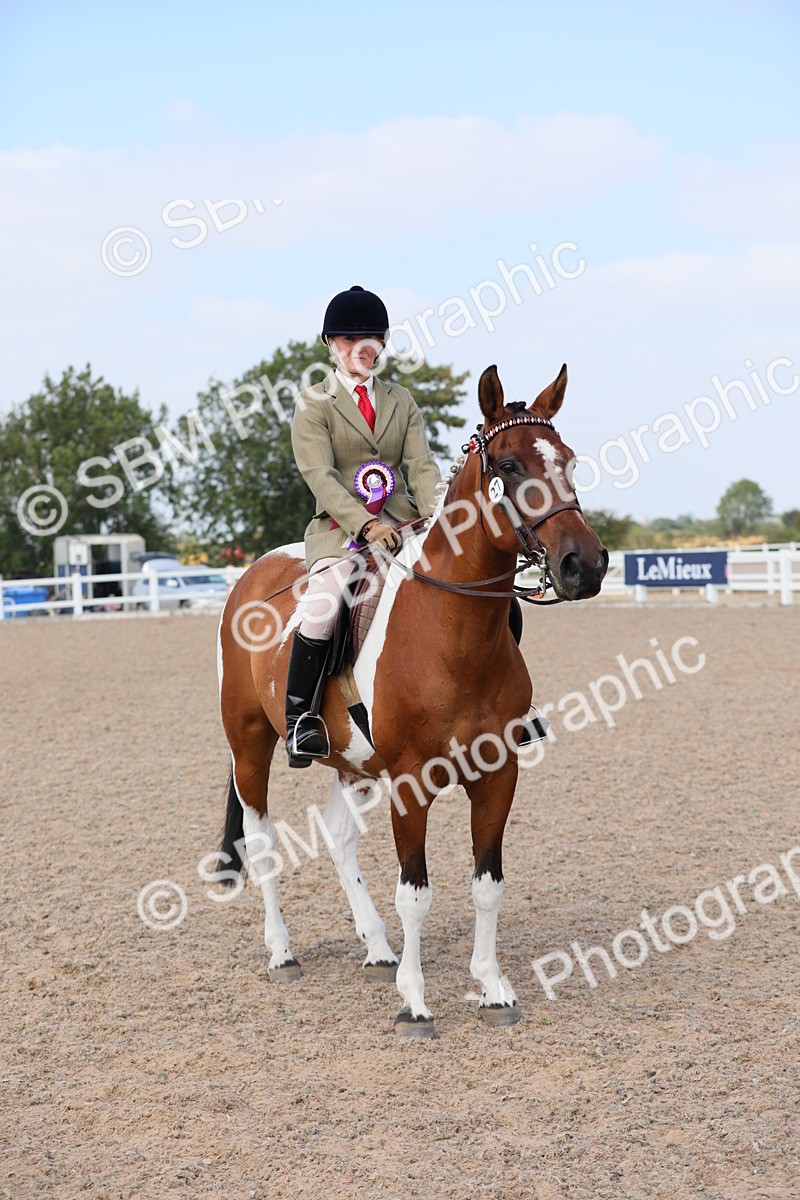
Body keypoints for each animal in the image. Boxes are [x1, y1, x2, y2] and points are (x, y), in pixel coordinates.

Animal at [216, 363, 608, 1037]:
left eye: (570, 461)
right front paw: (415, 1003)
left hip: (352, 762)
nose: (585, 565)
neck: (453, 635)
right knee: (261, 838)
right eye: (508, 465)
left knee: (339, 837)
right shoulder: (409, 782)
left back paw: (376, 947)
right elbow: (416, 893)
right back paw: (283, 952)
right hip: (251, 745)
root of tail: (255, 572)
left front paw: (492, 989)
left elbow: (487, 884)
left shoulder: (498, 776)